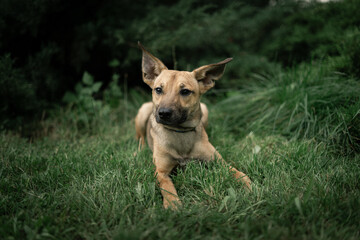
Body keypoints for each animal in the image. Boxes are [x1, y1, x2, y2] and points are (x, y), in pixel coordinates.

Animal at [136, 42, 252, 209]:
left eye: (185, 91)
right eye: (158, 89)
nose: (163, 113)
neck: (179, 132)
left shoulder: (219, 162)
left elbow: (238, 173)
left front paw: (248, 184)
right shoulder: (161, 172)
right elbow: (168, 187)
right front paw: (173, 204)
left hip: (205, 109)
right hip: (143, 112)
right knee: (140, 139)